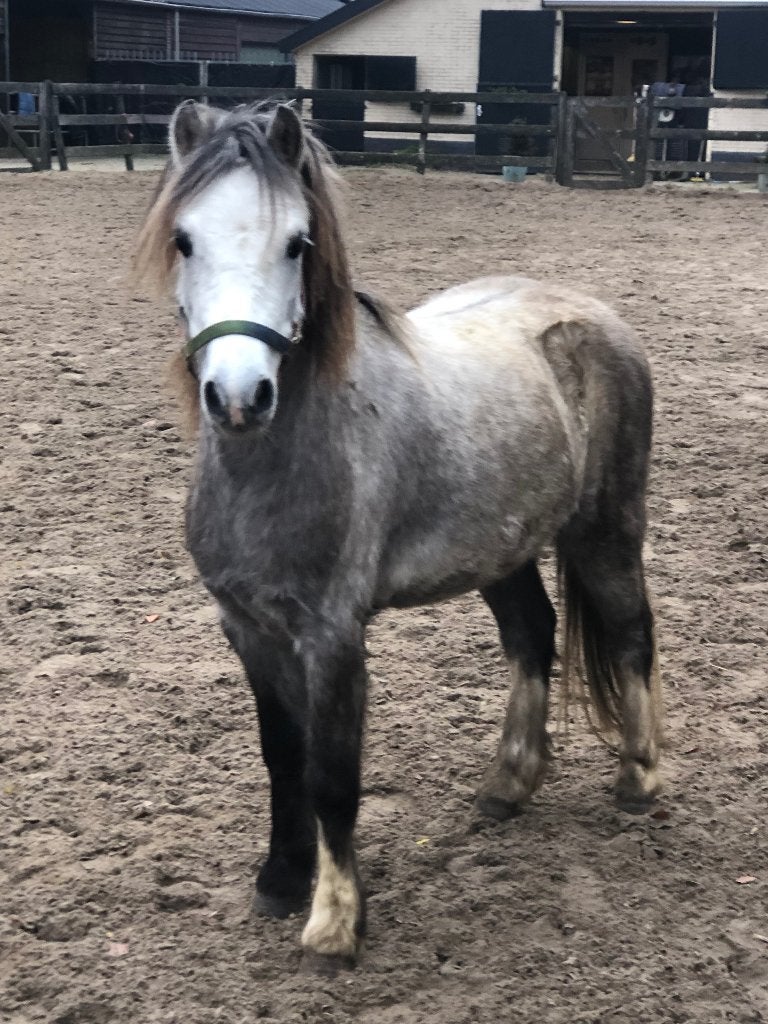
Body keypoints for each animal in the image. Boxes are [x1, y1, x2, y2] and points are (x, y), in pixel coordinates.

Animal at [135, 100, 663, 970]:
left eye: (297, 242)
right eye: (184, 239)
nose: (240, 396)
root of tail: (591, 314)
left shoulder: (332, 635)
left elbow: (331, 773)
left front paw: (334, 923)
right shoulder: (247, 629)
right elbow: (280, 756)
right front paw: (280, 881)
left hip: (606, 530)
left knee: (630, 635)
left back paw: (642, 780)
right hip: (503, 548)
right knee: (532, 634)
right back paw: (508, 785)